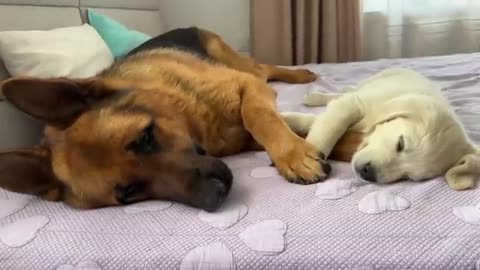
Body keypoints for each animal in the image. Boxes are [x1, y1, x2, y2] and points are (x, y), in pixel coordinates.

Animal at [0, 28, 360, 212]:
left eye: (145, 137)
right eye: (128, 192)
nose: (215, 196)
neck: (194, 120)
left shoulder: (248, 89)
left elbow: (259, 116)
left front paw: (294, 155)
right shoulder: (243, 134)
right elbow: (331, 138)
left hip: (243, 67)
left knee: (264, 68)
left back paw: (301, 74)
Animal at [284, 68, 478, 190]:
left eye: (408, 177)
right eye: (400, 143)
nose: (368, 173)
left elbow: (316, 121)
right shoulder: (356, 104)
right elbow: (328, 129)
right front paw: (307, 162)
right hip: (371, 81)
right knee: (346, 92)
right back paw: (315, 97)